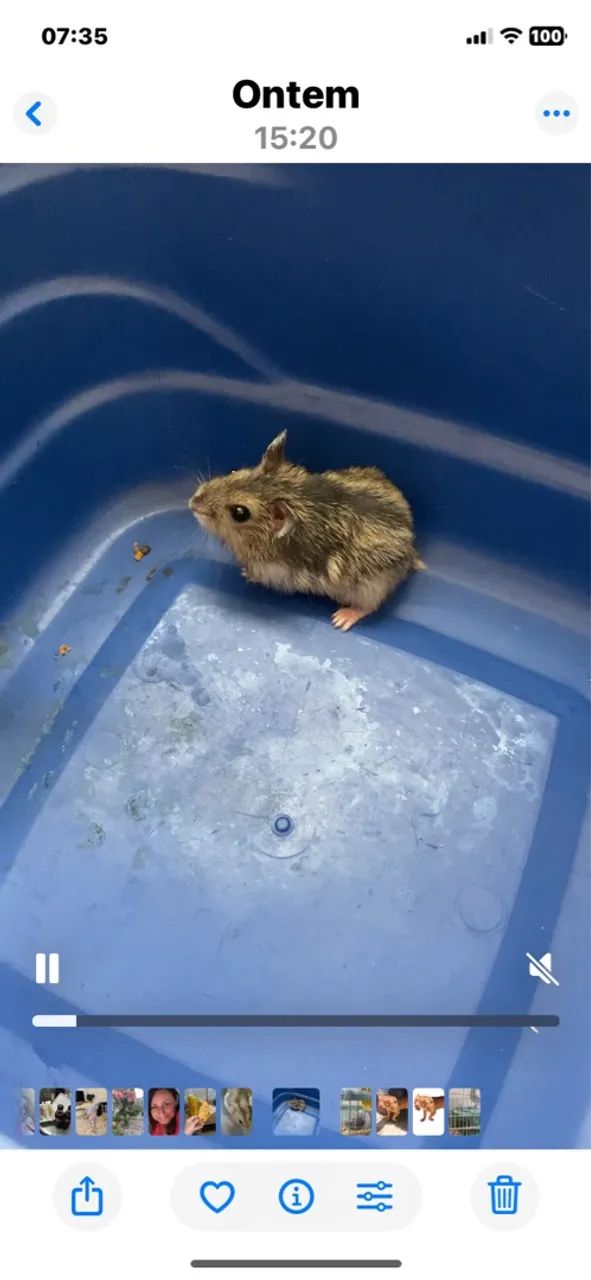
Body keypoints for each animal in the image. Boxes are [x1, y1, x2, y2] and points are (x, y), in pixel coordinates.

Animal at [189, 430, 424, 631]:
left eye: (239, 513)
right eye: (234, 471)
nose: (192, 502)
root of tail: (410, 546)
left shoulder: (274, 572)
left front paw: (245, 573)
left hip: (371, 587)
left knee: (369, 606)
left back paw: (341, 619)